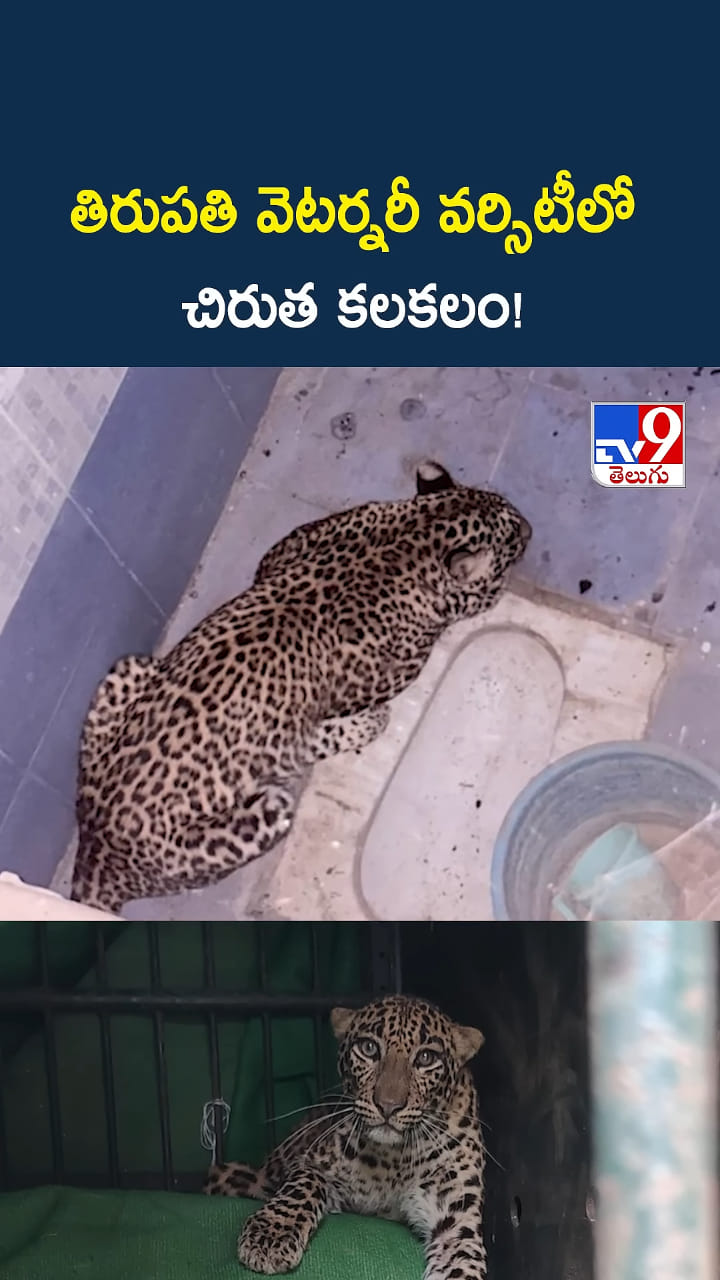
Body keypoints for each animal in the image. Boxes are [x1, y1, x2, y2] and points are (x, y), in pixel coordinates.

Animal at [71, 461, 531, 911]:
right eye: (513, 540)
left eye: (511, 511)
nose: (530, 529)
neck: (416, 534)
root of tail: (97, 856)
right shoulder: (316, 720)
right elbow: (335, 730)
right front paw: (372, 722)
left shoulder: (290, 546)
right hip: (263, 812)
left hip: (129, 668)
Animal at [205, 994, 488, 1279]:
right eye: (369, 1048)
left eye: (427, 1058)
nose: (388, 1105)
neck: (393, 1161)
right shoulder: (313, 1162)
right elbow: (305, 1183)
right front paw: (271, 1234)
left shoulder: (456, 1219)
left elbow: (462, 1259)